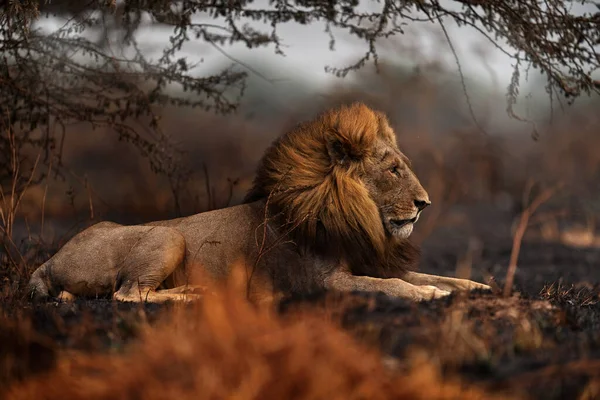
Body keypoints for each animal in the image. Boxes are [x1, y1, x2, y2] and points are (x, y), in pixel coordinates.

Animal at [25, 103, 490, 304]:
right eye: (393, 170)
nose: (424, 203)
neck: (358, 218)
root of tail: (49, 260)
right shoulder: (328, 282)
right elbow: (396, 285)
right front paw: (428, 294)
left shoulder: (366, 262)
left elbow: (434, 275)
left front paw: (478, 287)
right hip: (169, 236)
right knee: (127, 296)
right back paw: (193, 294)